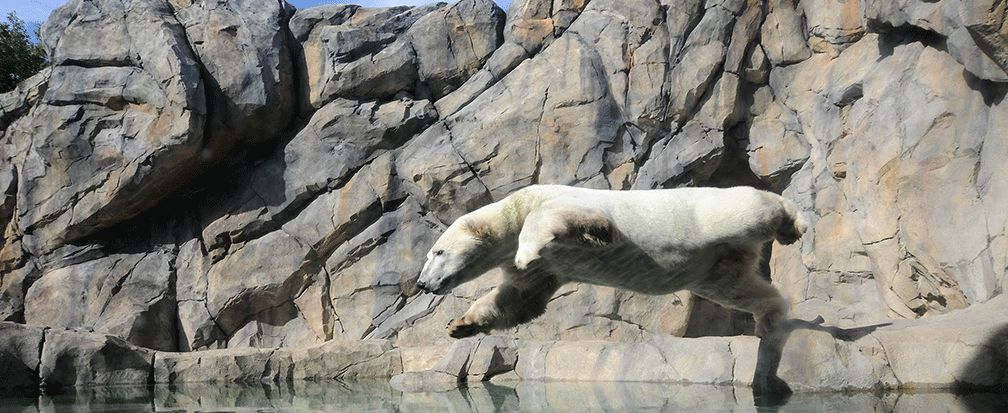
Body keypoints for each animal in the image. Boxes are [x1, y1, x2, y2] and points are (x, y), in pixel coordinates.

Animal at [413, 185, 806, 392]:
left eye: (438, 252)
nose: (423, 283)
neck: (516, 209)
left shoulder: (559, 202)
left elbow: (554, 222)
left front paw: (527, 250)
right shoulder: (547, 271)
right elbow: (518, 300)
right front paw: (459, 326)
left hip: (710, 215)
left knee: (752, 206)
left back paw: (792, 223)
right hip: (714, 266)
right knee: (741, 289)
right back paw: (770, 321)